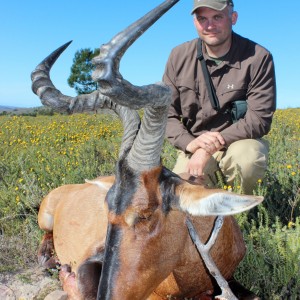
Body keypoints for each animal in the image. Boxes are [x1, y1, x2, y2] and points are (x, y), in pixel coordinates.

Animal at [31, 0, 262, 300]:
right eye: (108, 206)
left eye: (145, 213)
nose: (108, 295)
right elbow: (82, 284)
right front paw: (66, 274)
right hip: (45, 220)